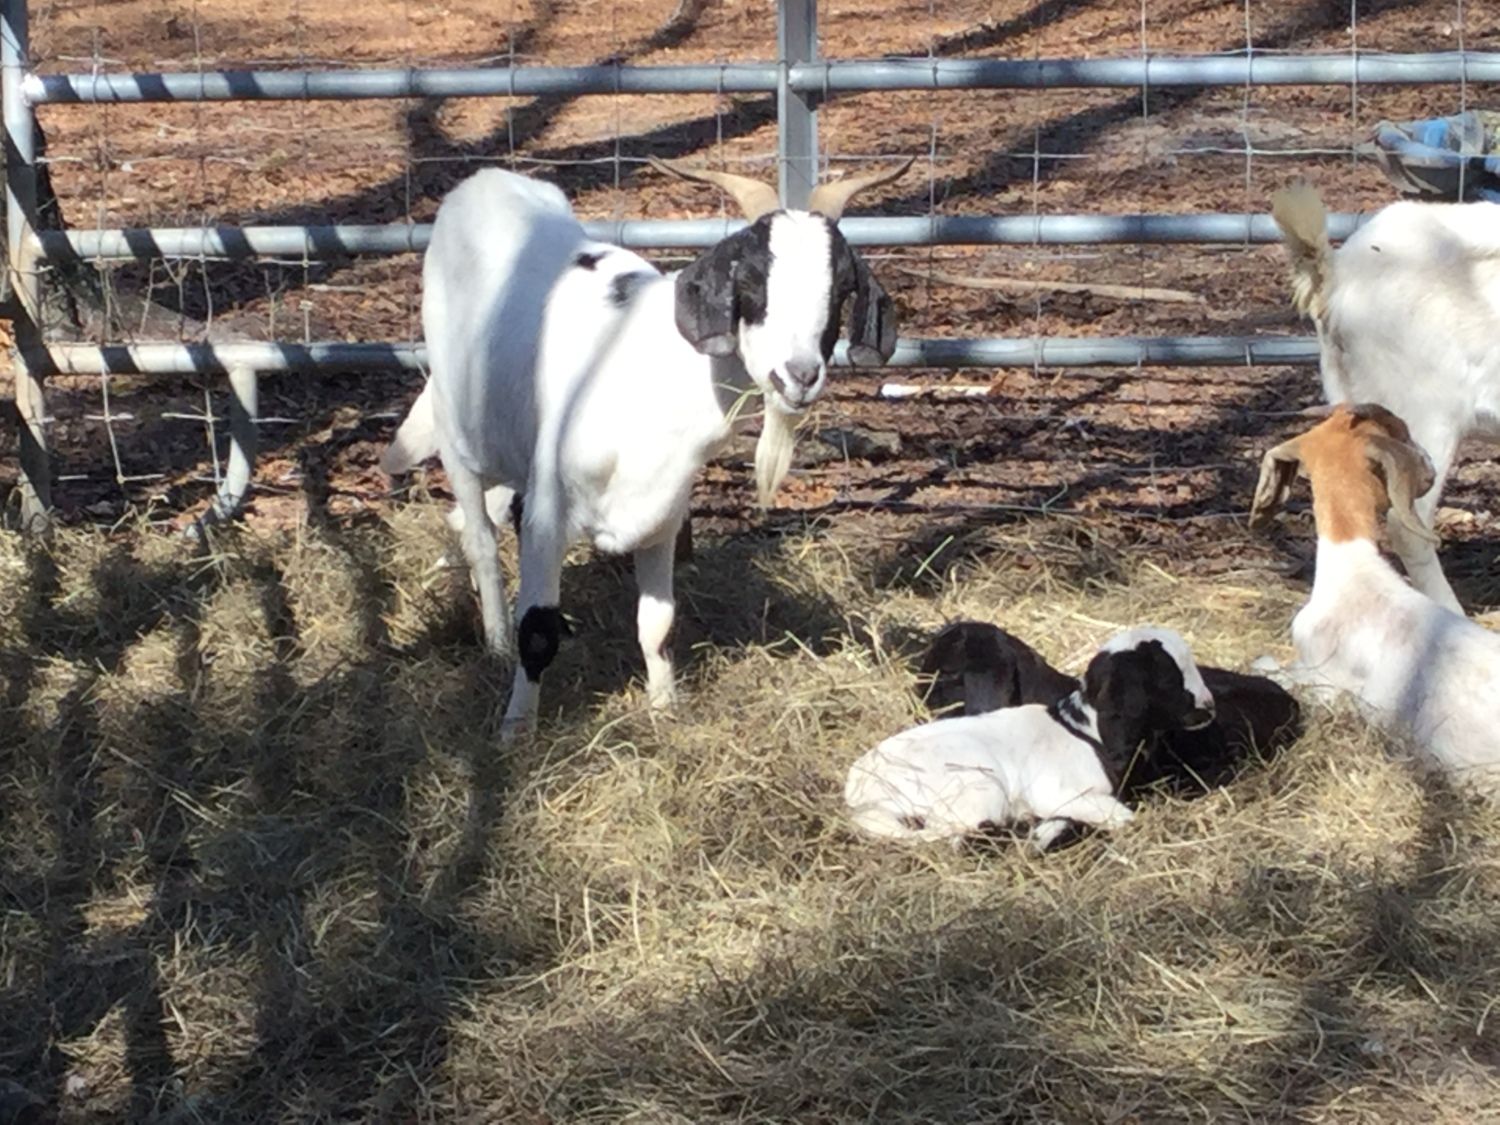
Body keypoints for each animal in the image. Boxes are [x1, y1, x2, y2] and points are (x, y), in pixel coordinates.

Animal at [381, 159, 909, 735]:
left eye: (841, 288)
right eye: (750, 280)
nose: (800, 375)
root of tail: (484, 180)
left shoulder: (662, 515)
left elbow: (658, 624)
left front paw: (665, 709)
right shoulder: (547, 515)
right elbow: (538, 632)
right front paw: (516, 730)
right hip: (456, 430)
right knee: (480, 537)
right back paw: (496, 641)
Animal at [845, 627, 1216, 850]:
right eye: (1169, 679)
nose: (1210, 708)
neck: (1085, 732)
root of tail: (860, 796)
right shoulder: (1061, 793)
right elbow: (1120, 817)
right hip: (978, 787)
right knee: (955, 831)